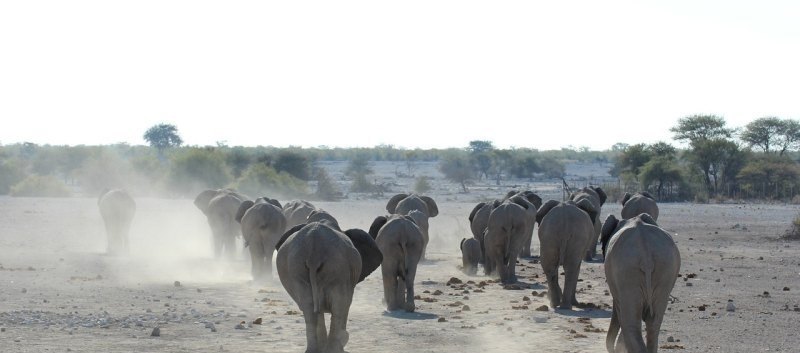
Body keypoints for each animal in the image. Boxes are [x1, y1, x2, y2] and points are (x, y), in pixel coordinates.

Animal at [276, 221, 382, 350]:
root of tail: (313, 252)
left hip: (298, 268)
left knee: (310, 308)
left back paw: (315, 349)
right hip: (337, 270)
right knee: (339, 305)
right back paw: (334, 348)